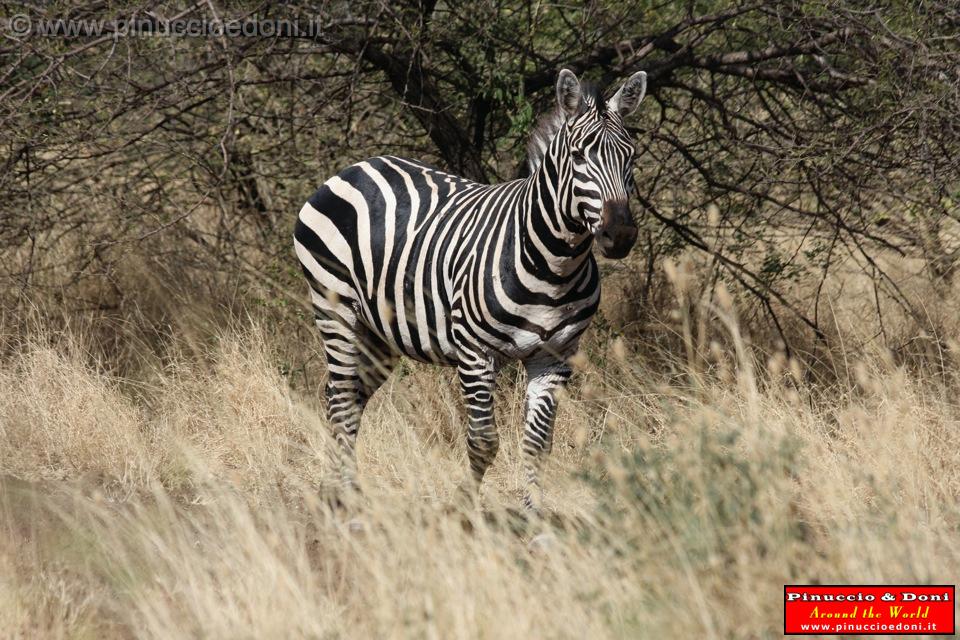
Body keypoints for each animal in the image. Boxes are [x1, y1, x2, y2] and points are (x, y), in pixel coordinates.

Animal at [296, 69, 648, 510]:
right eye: (579, 156)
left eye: (631, 157)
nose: (621, 235)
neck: (555, 265)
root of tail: (355, 167)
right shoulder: (475, 352)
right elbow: (483, 442)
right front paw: (464, 509)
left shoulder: (555, 357)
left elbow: (538, 445)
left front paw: (534, 517)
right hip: (334, 309)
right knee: (342, 401)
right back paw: (343, 502)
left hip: (380, 333)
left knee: (346, 399)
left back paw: (337, 491)